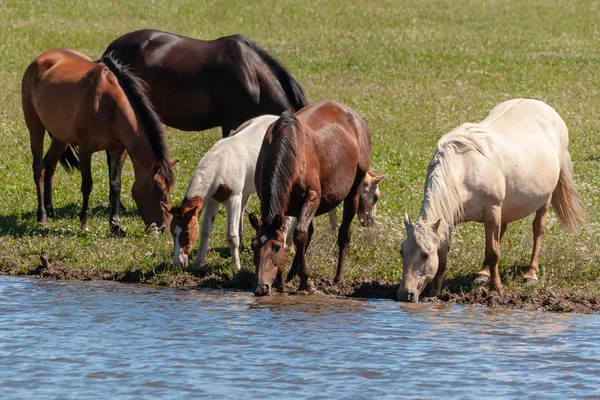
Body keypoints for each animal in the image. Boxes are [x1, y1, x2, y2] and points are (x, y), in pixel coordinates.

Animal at [21, 48, 175, 234]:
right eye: (159, 191)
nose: (163, 228)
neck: (109, 105)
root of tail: (39, 59)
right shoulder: (85, 150)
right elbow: (87, 184)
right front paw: (84, 222)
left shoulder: (118, 151)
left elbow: (115, 185)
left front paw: (115, 226)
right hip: (35, 126)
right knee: (38, 167)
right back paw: (42, 215)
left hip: (60, 136)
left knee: (49, 165)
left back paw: (50, 210)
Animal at [162, 115, 382, 272]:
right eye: (173, 231)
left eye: (186, 234)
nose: (177, 263)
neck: (221, 162)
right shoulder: (214, 199)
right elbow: (206, 230)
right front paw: (199, 263)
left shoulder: (233, 197)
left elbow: (231, 235)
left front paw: (236, 266)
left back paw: (289, 243)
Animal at [248, 101, 384, 296]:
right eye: (253, 245)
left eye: (276, 247)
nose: (260, 287)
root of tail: (355, 117)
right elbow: (297, 234)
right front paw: (284, 281)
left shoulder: (312, 196)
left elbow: (300, 234)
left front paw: (306, 281)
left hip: (353, 191)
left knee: (344, 231)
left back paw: (338, 276)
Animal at [398, 98, 584, 302]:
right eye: (402, 252)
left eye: (425, 255)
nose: (405, 294)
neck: (465, 169)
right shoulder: (449, 218)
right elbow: (444, 255)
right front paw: (435, 292)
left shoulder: (492, 210)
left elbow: (493, 252)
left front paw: (497, 288)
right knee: (501, 231)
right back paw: (483, 273)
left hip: (544, 199)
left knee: (538, 229)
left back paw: (530, 274)